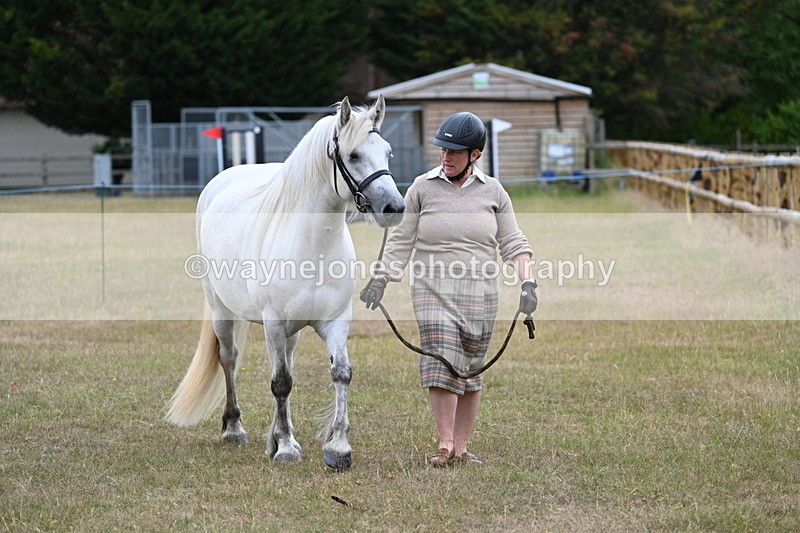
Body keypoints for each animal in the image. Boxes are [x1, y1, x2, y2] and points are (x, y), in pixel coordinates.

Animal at [165, 95, 405, 470]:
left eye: (387, 152)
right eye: (353, 155)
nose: (394, 207)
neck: (313, 246)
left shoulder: (335, 321)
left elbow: (340, 374)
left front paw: (338, 448)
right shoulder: (274, 322)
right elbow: (280, 382)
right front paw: (287, 448)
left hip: (290, 331)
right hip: (223, 311)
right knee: (229, 359)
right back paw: (234, 429)